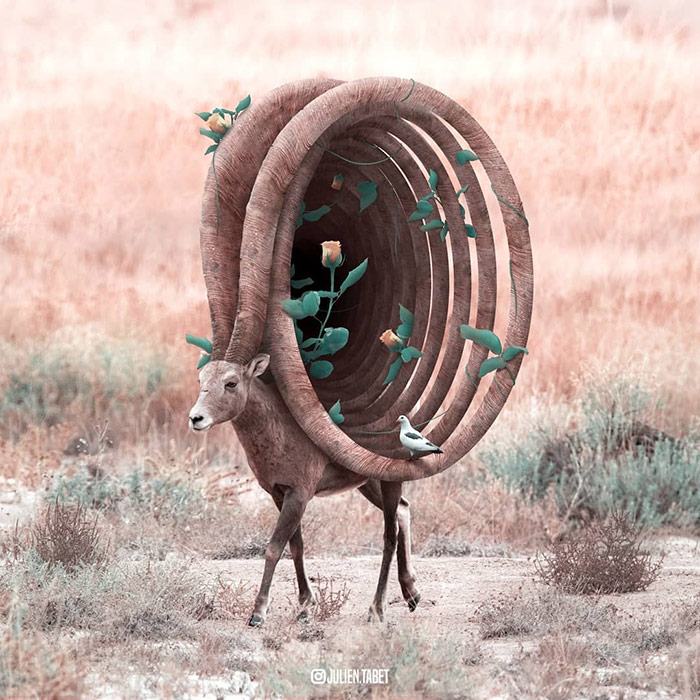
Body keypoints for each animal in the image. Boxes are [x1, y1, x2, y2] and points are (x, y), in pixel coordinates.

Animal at [189, 354, 421, 626]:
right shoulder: (280, 495)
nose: (196, 418)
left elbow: (274, 548)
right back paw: (412, 595)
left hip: (387, 481)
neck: (280, 432)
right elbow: (296, 546)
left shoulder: (299, 495)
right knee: (403, 509)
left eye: (231, 383)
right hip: (368, 484)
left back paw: (376, 610)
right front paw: (304, 608)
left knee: (389, 536)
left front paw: (258, 614)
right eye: (201, 380)